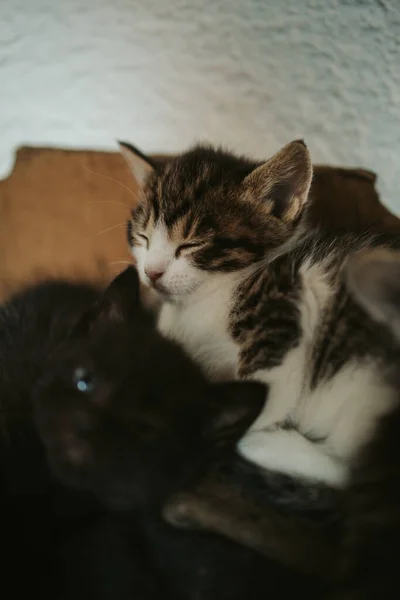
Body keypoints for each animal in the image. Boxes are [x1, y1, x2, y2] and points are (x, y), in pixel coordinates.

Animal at [122, 139, 400, 488]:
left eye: (191, 244)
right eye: (143, 237)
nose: (152, 273)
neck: (204, 299)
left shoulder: (286, 303)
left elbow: (264, 394)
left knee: (348, 471)